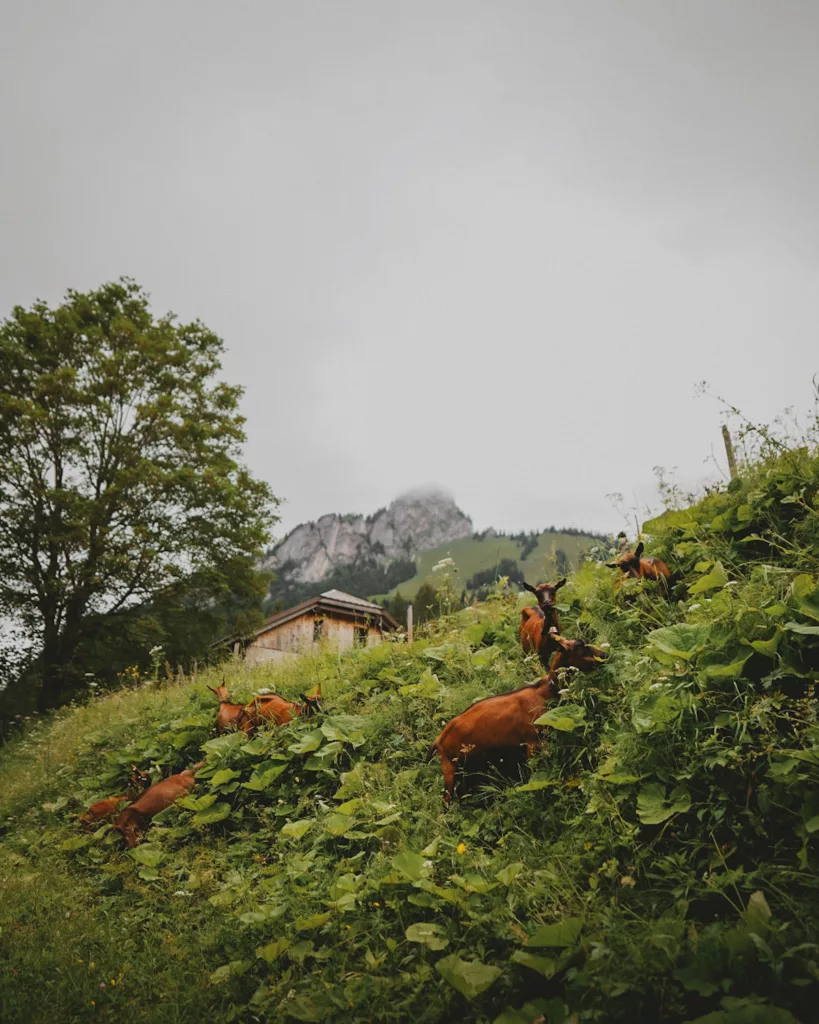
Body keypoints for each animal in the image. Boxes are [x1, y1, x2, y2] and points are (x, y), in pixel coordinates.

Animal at [432, 634, 606, 802]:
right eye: (579, 647)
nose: (604, 654)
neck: (545, 691)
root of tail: (439, 741)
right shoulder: (533, 742)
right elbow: (535, 771)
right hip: (450, 769)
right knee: (446, 800)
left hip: (468, 767)